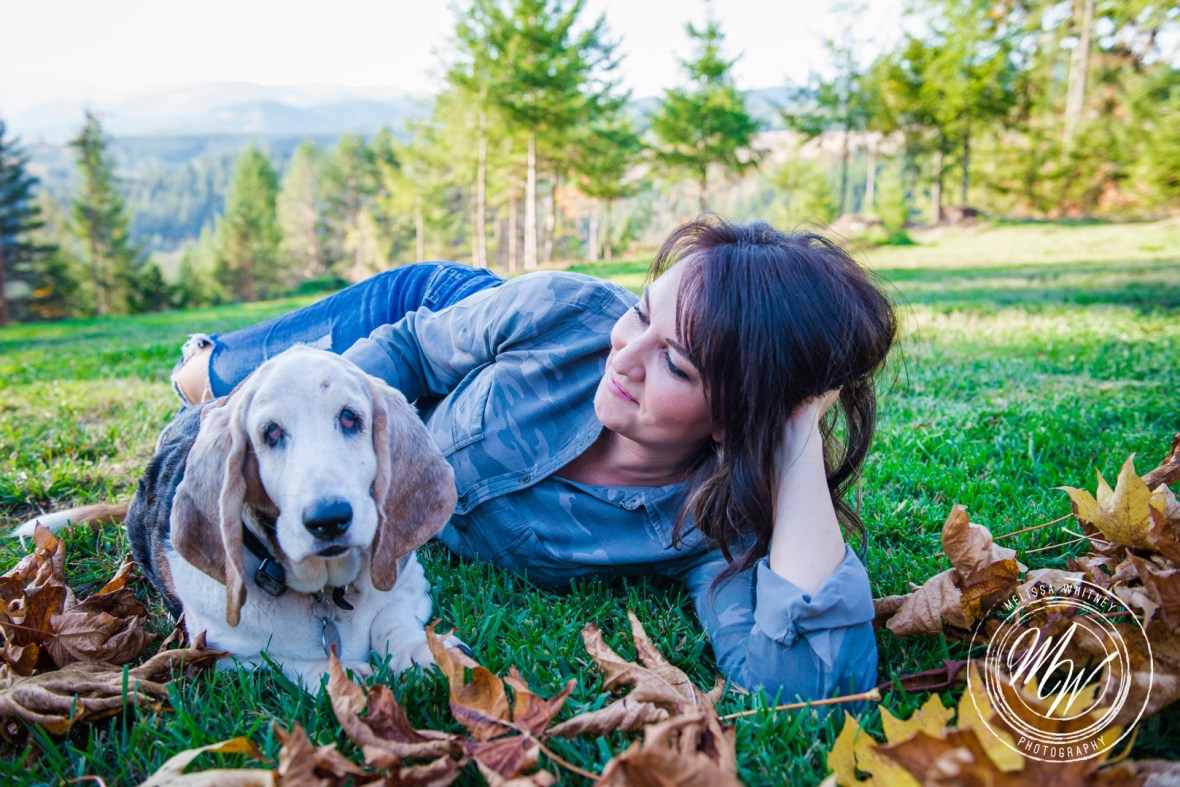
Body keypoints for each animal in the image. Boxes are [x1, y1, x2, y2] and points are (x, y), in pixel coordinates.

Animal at [13, 346, 458, 689]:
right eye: (271, 433)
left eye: (351, 418)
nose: (328, 519)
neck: (324, 594)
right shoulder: (223, 651)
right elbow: (289, 663)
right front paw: (342, 677)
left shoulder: (410, 588)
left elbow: (392, 623)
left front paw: (426, 653)